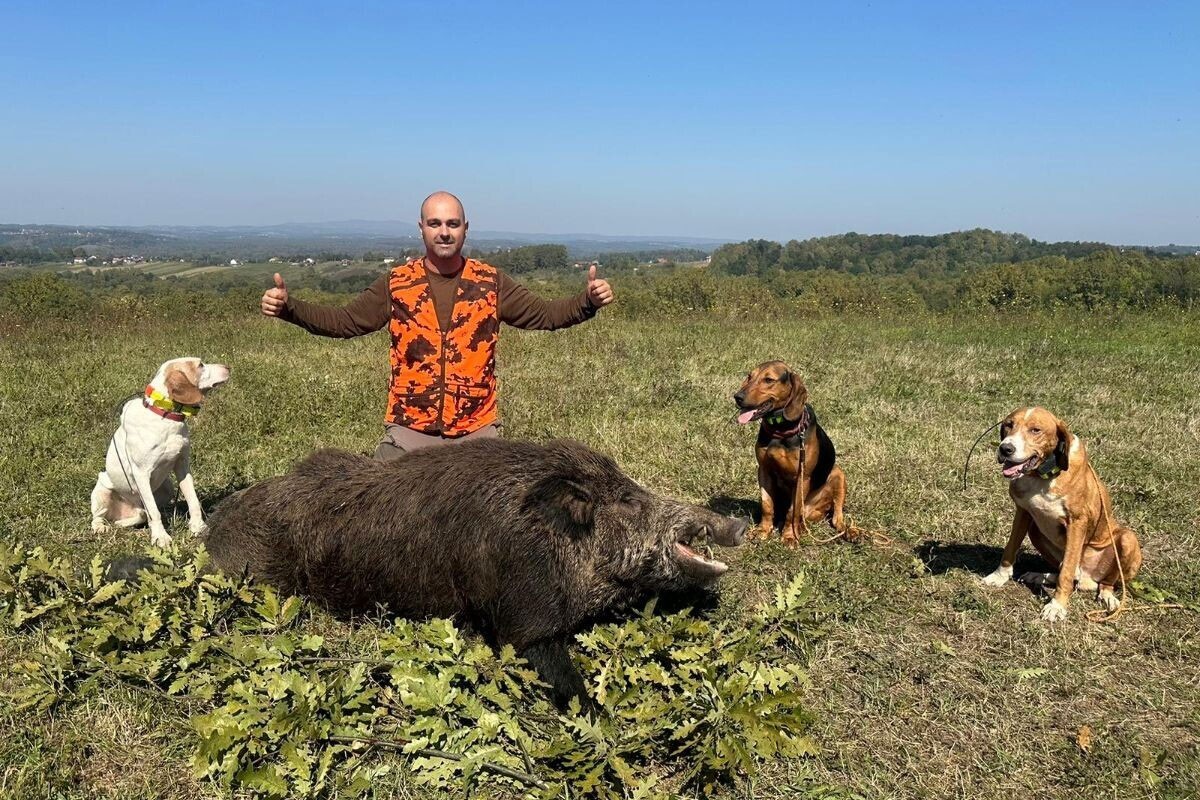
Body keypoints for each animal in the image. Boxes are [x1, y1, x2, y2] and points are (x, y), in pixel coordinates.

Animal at [90, 359, 230, 546]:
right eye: (200, 365)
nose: (228, 367)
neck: (167, 416)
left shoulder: (182, 465)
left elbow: (193, 500)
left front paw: (198, 527)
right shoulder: (141, 473)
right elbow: (153, 512)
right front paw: (160, 537)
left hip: (168, 486)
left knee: (142, 514)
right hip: (102, 490)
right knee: (99, 517)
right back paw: (101, 527)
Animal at [984, 410, 1142, 623]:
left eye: (1036, 430)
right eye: (1009, 425)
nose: (1005, 448)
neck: (1043, 476)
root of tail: (1087, 578)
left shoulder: (1077, 523)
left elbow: (1066, 572)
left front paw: (1057, 606)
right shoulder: (1023, 512)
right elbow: (1010, 549)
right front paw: (999, 576)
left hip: (1127, 539)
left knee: (1104, 582)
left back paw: (1108, 597)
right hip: (1035, 530)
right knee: (1066, 572)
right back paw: (1041, 576)